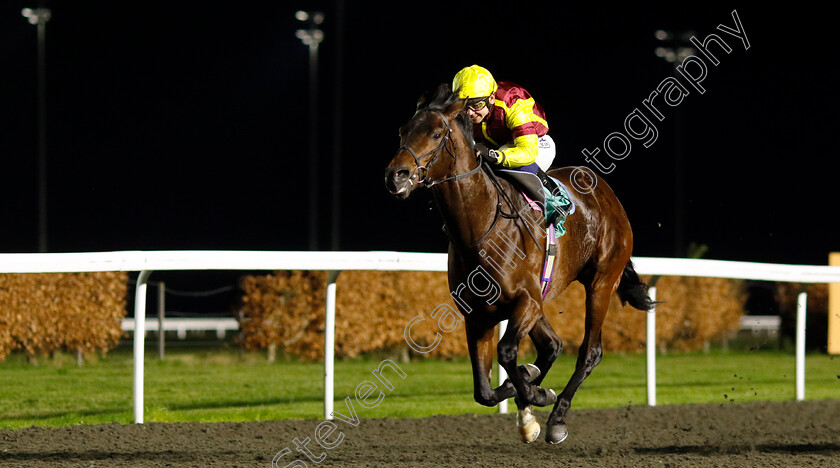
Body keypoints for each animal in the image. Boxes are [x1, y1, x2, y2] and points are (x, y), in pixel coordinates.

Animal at [384, 82, 652, 444]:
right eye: (403, 131)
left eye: (437, 133)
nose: (396, 176)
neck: (481, 228)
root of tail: (608, 196)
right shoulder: (479, 314)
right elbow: (483, 391)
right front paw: (525, 394)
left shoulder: (526, 301)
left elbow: (508, 351)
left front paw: (533, 400)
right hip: (540, 299)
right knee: (553, 345)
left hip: (601, 282)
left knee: (589, 352)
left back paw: (556, 417)